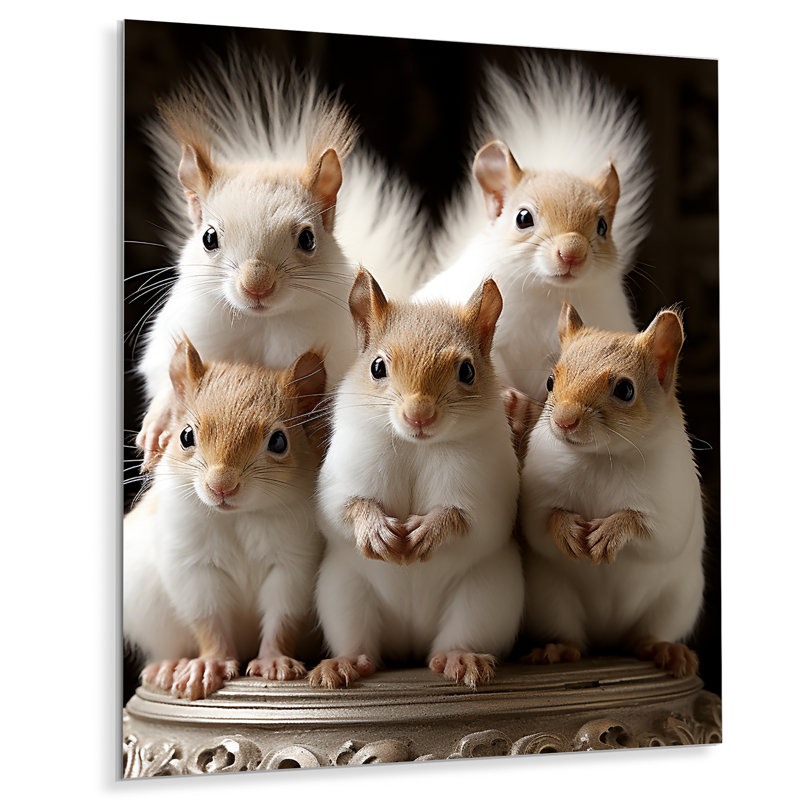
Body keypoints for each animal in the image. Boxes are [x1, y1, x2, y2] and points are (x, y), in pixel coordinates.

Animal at [123, 339, 326, 700]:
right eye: (185, 435)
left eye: (279, 441)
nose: (221, 486)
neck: (238, 517)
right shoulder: (193, 565)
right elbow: (208, 618)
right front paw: (209, 664)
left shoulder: (292, 562)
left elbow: (283, 614)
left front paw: (274, 661)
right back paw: (168, 666)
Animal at [133, 48, 427, 469]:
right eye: (209, 237)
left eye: (307, 238)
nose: (256, 286)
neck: (261, 324)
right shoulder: (185, 329)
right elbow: (167, 375)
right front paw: (158, 423)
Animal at [308, 268, 523, 690]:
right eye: (377, 367)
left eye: (467, 370)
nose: (419, 415)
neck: (415, 447)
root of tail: (410, 642)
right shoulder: (341, 480)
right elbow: (344, 508)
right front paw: (374, 528)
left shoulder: (487, 494)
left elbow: (469, 519)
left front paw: (432, 530)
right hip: (343, 595)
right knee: (361, 645)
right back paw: (343, 663)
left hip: (484, 599)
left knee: (458, 637)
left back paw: (460, 658)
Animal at [414, 54, 652, 406]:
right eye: (523, 218)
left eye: (603, 226)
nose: (572, 254)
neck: (547, 293)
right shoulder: (492, 336)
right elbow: (491, 365)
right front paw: (509, 396)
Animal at [518, 301, 705, 677]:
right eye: (550, 381)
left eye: (625, 390)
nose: (564, 421)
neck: (601, 458)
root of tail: (607, 636)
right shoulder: (536, 499)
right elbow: (541, 522)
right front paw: (566, 530)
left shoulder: (669, 504)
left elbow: (654, 530)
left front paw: (611, 532)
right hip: (551, 601)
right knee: (573, 640)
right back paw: (556, 650)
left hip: (675, 603)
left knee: (646, 638)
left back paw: (665, 649)